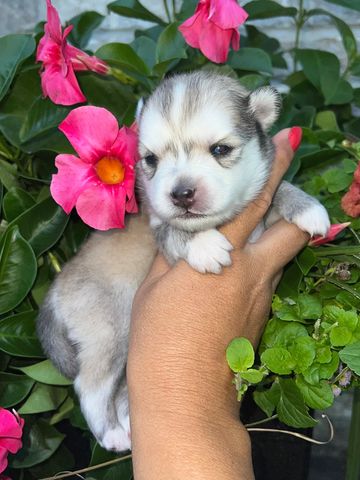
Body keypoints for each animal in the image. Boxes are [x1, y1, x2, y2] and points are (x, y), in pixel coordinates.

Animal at [35, 71, 330, 450]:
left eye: (220, 149)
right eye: (151, 160)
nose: (181, 193)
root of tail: (55, 290)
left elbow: (278, 190)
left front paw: (308, 207)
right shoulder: (157, 224)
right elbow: (175, 231)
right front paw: (204, 245)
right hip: (110, 333)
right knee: (91, 386)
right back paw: (112, 433)